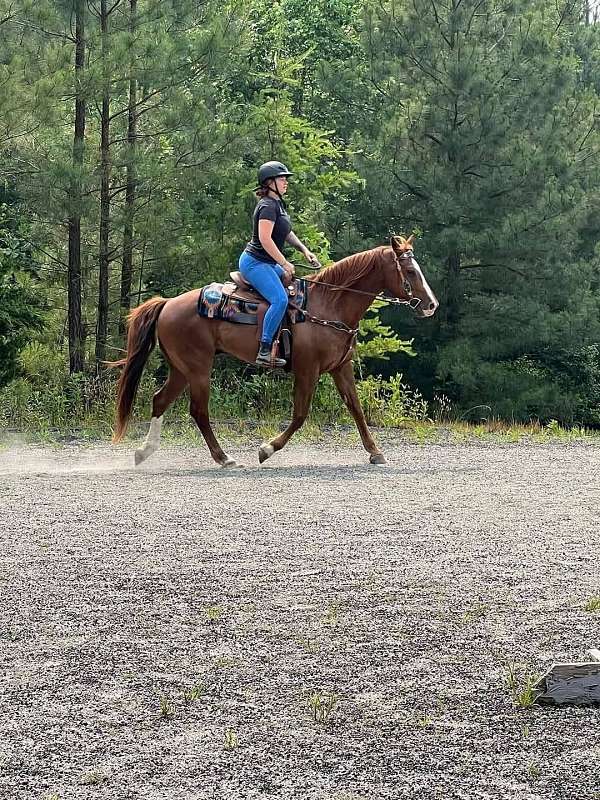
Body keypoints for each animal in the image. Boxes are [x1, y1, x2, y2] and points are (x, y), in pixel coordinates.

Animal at [113, 234, 436, 466]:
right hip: (198, 368)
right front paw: (267, 449)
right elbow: (300, 414)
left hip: (181, 369)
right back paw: (224, 458)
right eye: (409, 270)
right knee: (198, 411)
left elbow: (355, 408)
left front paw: (375, 452)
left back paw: (144, 452)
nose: (431, 304)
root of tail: (168, 303)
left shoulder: (339, 367)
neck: (328, 304)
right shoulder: (307, 370)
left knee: (160, 400)